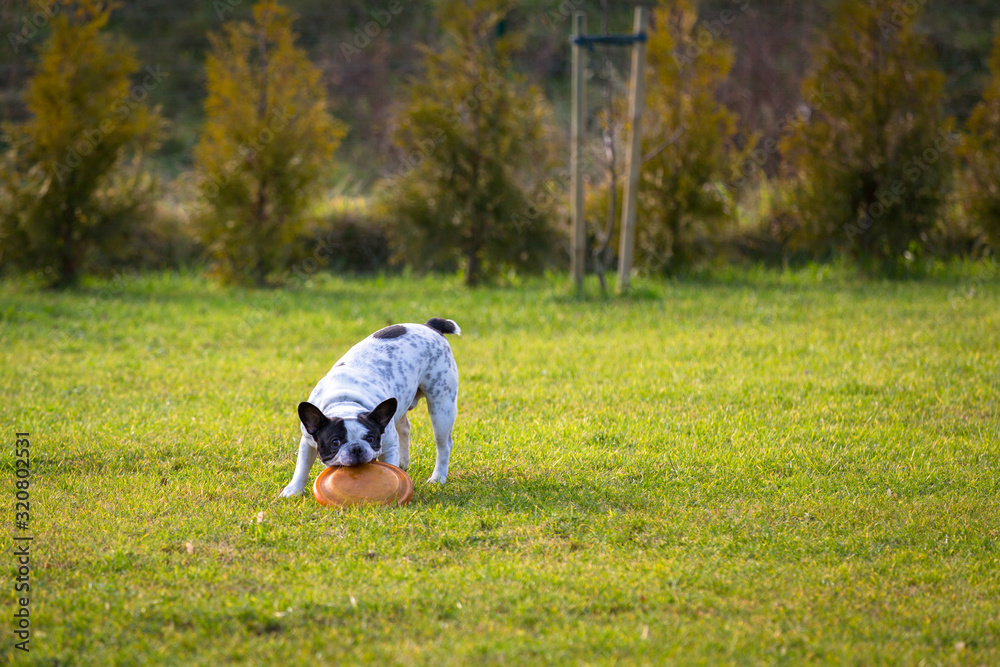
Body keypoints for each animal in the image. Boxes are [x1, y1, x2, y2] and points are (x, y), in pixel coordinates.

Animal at [280, 318, 462, 496]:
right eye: (335, 442)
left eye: (371, 438)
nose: (356, 449)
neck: (345, 403)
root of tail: (430, 325)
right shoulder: (307, 441)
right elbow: (302, 467)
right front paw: (292, 490)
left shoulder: (389, 446)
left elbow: (390, 466)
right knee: (404, 428)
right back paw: (404, 463)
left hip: (441, 407)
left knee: (443, 445)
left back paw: (437, 477)